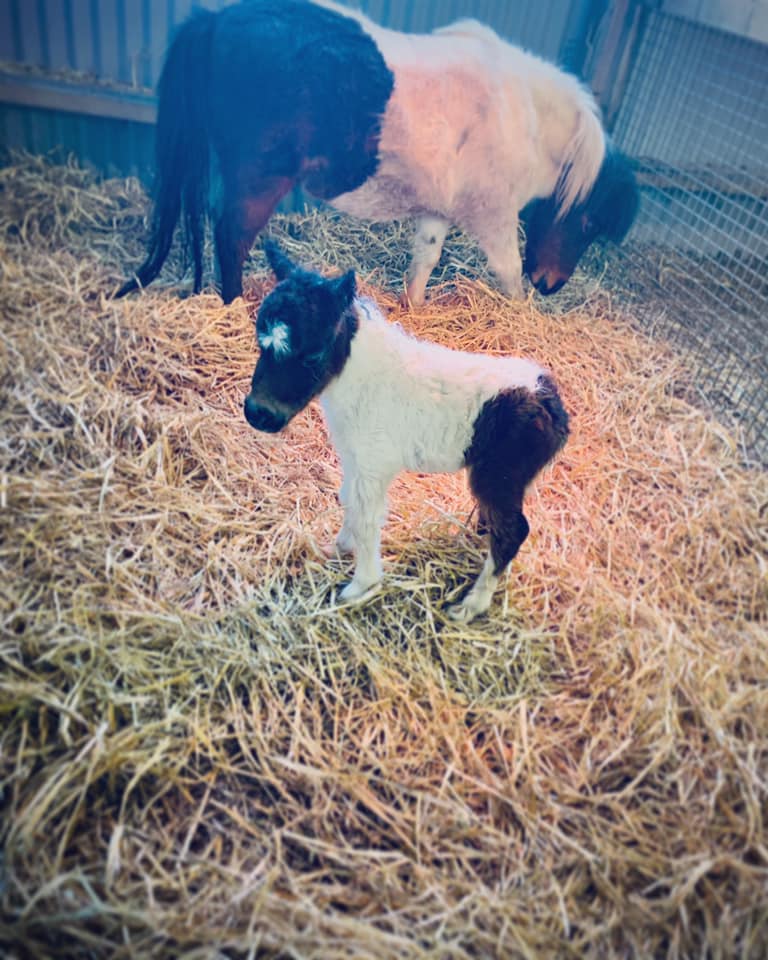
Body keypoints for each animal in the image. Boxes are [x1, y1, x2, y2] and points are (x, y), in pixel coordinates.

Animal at [117, 0, 639, 305]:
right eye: (588, 222)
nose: (551, 283)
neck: (523, 115)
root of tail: (217, 20)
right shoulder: (492, 216)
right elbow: (508, 273)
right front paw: (522, 315)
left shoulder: (437, 210)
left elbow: (425, 260)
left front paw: (416, 308)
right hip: (259, 181)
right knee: (232, 237)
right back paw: (235, 304)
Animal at [243, 241, 570, 621]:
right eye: (260, 341)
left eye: (312, 355)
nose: (258, 414)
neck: (359, 377)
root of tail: (553, 406)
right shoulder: (354, 458)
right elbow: (348, 499)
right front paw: (337, 547)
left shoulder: (373, 463)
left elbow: (366, 515)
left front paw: (361, 586)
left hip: (499, 474)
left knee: (513, 530)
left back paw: (469, 606)